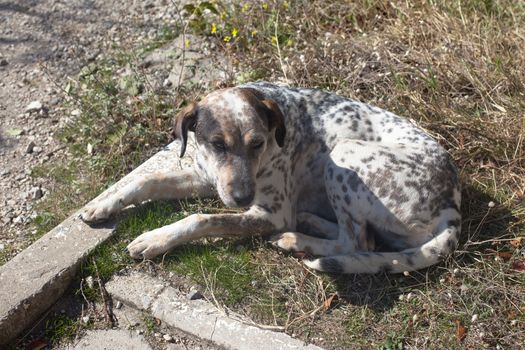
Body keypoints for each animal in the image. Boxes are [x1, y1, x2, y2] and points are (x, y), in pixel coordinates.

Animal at [80, 81, 460, 274]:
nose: (242, 198)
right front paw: (102, 204)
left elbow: (201, 218)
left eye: (258, 143)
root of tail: (452, 207)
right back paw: (309, 222)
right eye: (217, 144)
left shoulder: (270, 213)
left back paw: (298, 239)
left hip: (346, 154)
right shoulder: (209, 177)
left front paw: (156, 239)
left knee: (357, 243)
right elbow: (147, 181)